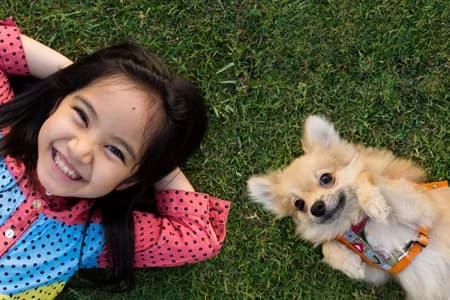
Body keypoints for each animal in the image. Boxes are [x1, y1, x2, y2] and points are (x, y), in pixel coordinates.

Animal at [248, 115, 450, 300]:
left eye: (326, 178)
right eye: (299, 204)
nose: (317, 207)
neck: (358, 222)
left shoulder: (422, 212)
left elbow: (364, 175)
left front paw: (373, 203)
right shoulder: (382, 268)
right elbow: (328, 246)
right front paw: (349, 264)